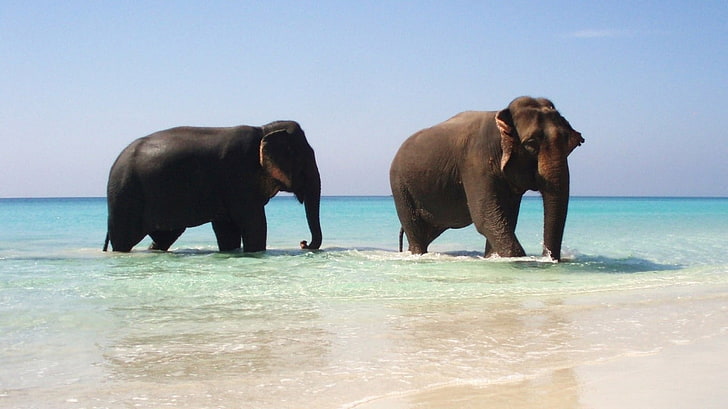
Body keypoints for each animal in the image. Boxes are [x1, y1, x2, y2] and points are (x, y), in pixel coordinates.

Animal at [103, 120, 322, 252]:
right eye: (305, 161)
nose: (303, 243)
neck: (264, 129)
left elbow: (227, 228)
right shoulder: (237, 175)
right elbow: (254, 223)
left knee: (165, 237)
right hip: (125, 197)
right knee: (124, 240)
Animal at [389, 97, 583, 261]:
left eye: (569, 143)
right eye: (531, 144)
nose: (548, 257)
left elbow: (506, 218)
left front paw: (492, 257)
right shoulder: (475, 162)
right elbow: (486, 217)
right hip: (400, 187)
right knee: (415, 230)